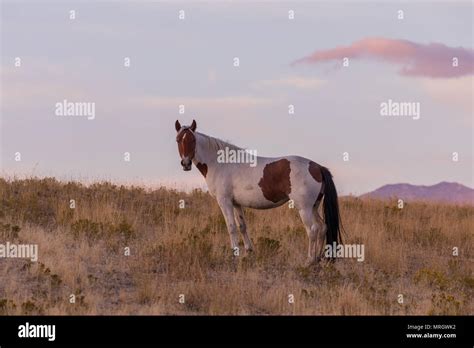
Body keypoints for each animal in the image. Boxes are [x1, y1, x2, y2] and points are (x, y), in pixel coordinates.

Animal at [174, 119, 340, 264]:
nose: (185, 163)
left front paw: (234, 254)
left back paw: (310, 260)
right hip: (314, 207)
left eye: (193, 140)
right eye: (178, 140)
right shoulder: (236, 203)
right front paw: (248, 251)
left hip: (304, 208)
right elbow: (242, 226)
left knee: (312, 230)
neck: (220, 163)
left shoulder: (224, 201)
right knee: (322, 228)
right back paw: (319, 258)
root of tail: (317, 167)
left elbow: (231, 227)